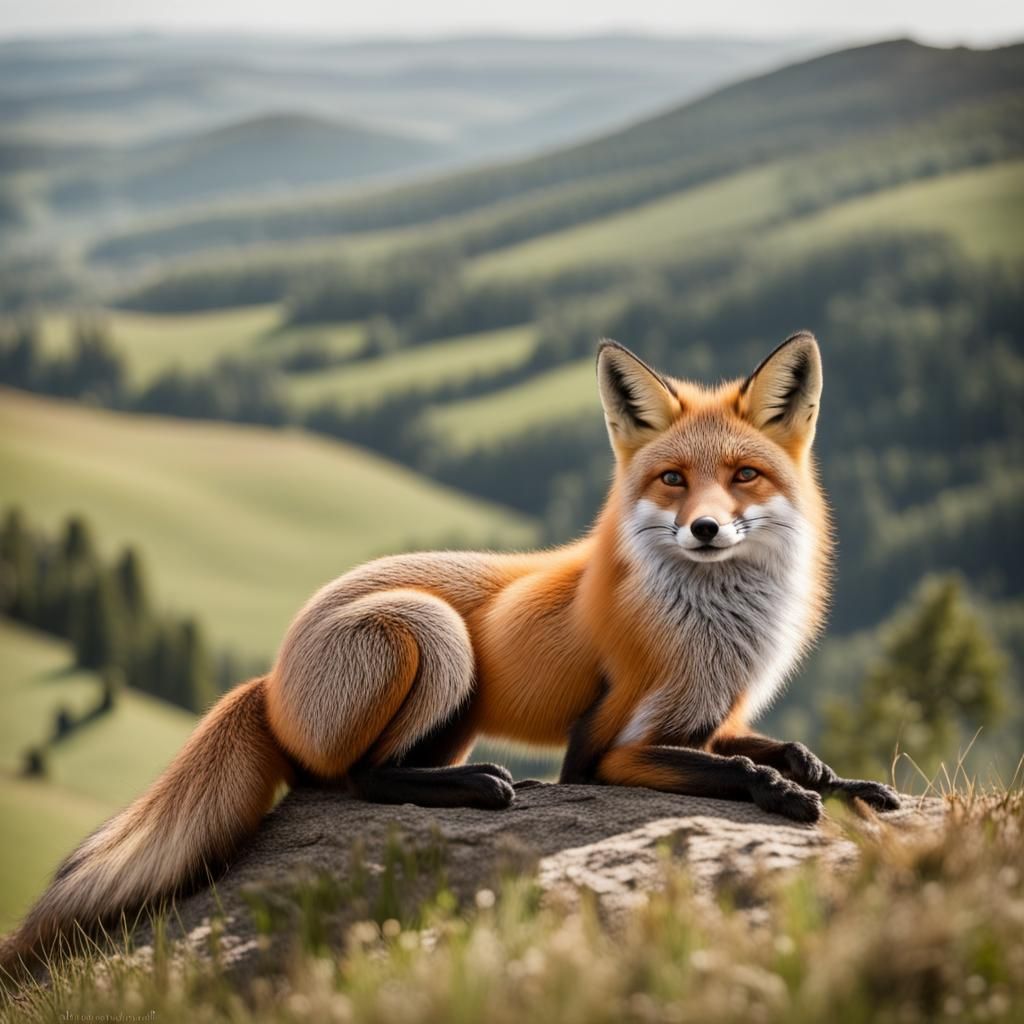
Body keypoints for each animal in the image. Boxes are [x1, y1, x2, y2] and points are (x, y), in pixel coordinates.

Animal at [2, 332, 900, 976]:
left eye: (744, 475)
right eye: (673, 480)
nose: (706, 530)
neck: (715, 631)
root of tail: (272, 675)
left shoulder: (714, 716)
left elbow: (790, 749)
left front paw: (843, 783)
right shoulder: (607, 748)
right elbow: (730, 768)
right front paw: (781, 795)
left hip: (455, 709)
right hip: (432, 631)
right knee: (357, 779)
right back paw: (482, 788)